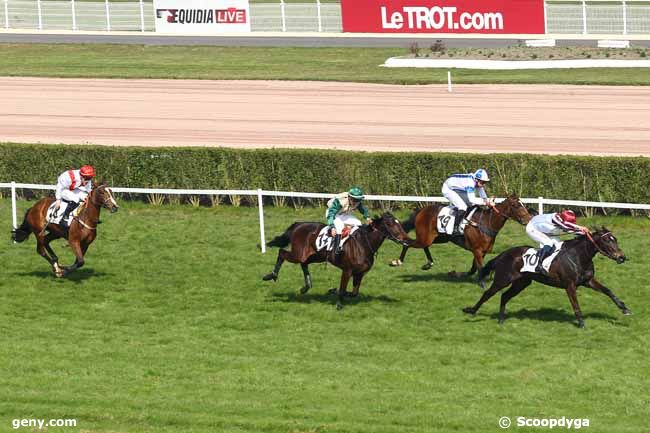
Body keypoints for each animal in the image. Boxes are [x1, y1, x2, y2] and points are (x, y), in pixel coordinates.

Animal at [262, 212, 410, 308]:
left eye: (398, 222)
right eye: (390, 223)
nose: (406, 238)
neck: (363, 243)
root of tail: (298, 224)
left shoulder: (360, 273)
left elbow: (354, 293)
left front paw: (333, 291)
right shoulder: (347, 270)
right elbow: (343, 289)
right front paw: (338, 302)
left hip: (314, 256)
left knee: (304, 263)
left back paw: (306, 287)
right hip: (299, 254)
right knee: (282, 253)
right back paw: (271, 275)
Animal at [390, 193, 532, 276]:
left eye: (522, 204)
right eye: (516, 205)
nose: (528, 219)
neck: (486, 222)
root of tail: (421, 210)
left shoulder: (482, 251)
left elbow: (473, 269)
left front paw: (455, 273)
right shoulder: (477, 250)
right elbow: (478, 269)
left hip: (438, 238)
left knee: (423, 245)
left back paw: (429, 263)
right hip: (425, 238)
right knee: (407, 242)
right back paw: (397, 261)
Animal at [460, 228, 628, 326]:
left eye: (615, 239)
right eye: (606, 240)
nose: (622, 257)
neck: (578, 256)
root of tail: (504, 254)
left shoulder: (588, 281)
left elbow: (608, 291)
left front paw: (624, 308)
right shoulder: (570, 285)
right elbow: (575, 304)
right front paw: (581, 322)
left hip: (522, 282)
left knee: (505, 296)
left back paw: (501, 320)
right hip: (503, 279)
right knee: (488, 293)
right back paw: (471, 310)